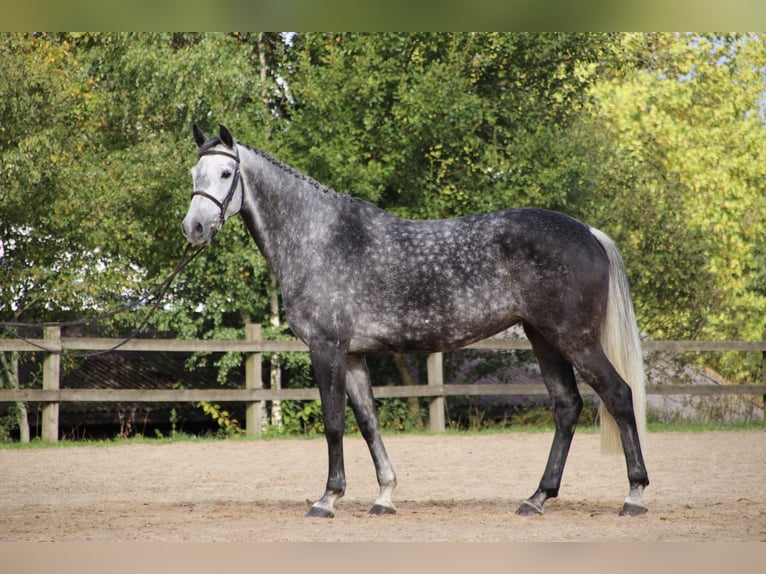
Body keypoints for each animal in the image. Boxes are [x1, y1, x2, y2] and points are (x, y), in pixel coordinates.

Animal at [183, 126, 652, 520]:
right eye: (194, 172)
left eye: (226, 172)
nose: (195, 227)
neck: (319, 239)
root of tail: (588, 233)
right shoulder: (353, 356)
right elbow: (368, 423)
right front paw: (384, 496)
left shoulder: (327, 348)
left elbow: (334, 423)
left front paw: (327, 499)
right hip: (544, 338)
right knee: (566, 406)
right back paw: (536, 497)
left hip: (574, 339)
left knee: (618, 394)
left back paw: (633, 495)